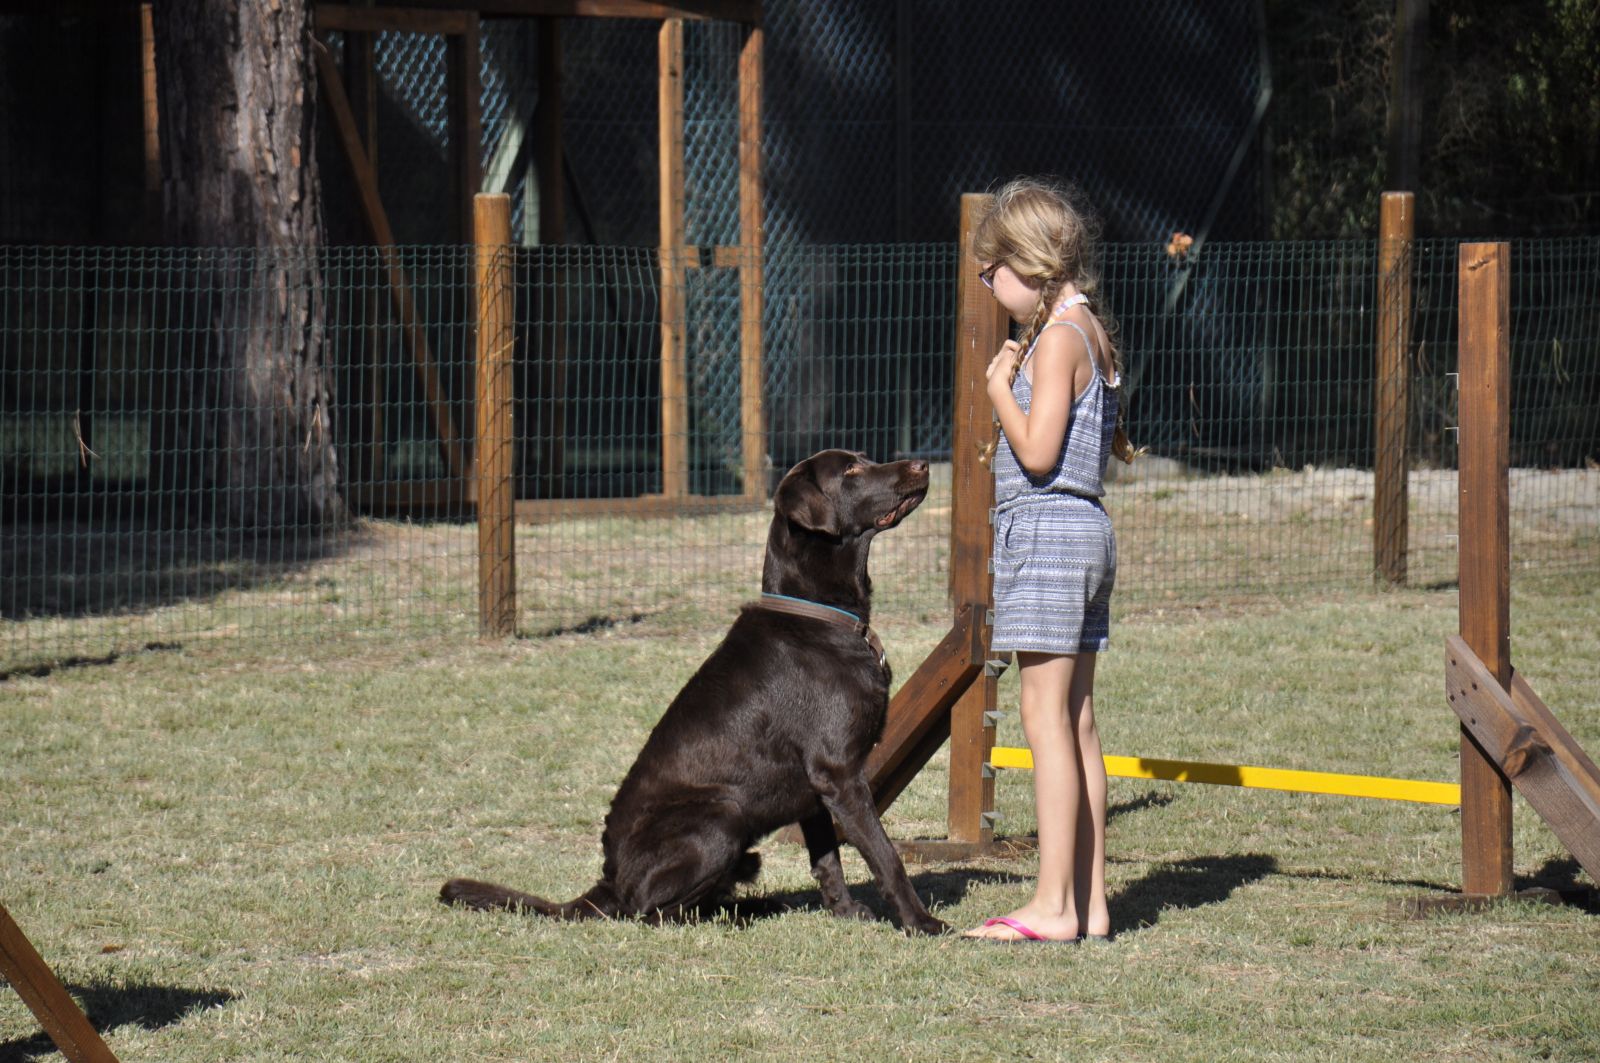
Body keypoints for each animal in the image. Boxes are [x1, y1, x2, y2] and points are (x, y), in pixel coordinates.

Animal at [441, 448, 947, 928]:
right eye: (850, 473)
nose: (923, 463)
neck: (822, 617)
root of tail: (609, 881)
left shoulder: (816, 788)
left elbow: (828, 860)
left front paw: (844, 913)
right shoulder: (840, 772)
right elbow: (884, 854)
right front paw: (920, 922)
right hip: (723, 815)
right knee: (652, 912)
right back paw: (740, 917)